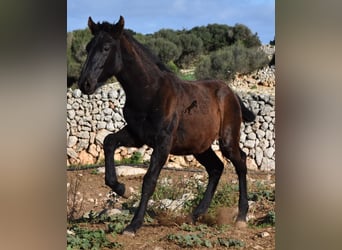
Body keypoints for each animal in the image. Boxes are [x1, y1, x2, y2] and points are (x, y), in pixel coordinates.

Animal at [77, 15, 254, 234]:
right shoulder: (137, 135)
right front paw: (121, 189)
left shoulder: (163, 142)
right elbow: (109, 141)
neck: (150, 92)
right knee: (216, 167)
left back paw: (241, 217)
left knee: (241, 162)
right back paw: (195, 214)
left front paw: (133, 225)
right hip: (199, 146)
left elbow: (149, 180)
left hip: (227, 140)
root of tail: (231, 93)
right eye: (88, 47)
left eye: (106, 47)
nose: (85, 83)